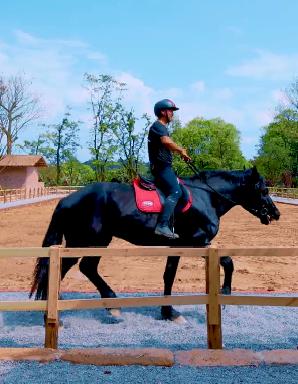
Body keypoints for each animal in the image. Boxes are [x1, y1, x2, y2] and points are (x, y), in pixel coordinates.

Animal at [29, 166, 280, 322]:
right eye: (263, 190)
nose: (275, 213)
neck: (206, 197)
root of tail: (67, 199)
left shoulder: (179, 246)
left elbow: (169, 275)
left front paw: (168, 312)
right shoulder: (197, 242)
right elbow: (228, 261)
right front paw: (225, 294)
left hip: (97, 241)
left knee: (85, 268)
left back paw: (109, 305)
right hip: (87, 242)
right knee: (65, 269)